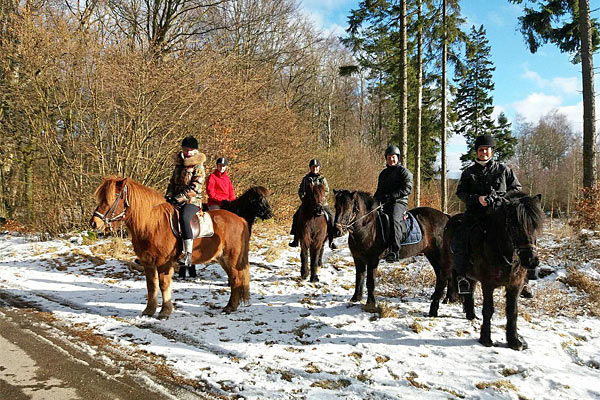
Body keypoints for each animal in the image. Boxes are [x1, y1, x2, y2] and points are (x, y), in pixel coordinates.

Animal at [89, 177, 251, 318]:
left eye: (113, 198)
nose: (94, 223)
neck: (152, 224)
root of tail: (240, 219)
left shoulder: (164, 262)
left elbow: (163, 285)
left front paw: (165, 312)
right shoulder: (147, 262)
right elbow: (151, 286)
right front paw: (149, 310)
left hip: (231, 258)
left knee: (236, 279)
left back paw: (230, 307)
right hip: (223, 259)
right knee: (234, 280)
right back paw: (231, 306)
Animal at [442, 191, 548, 350]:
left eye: (535, 226)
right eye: (514, 225)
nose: (531, 260)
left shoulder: (515, 285)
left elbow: (512, 311)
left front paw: (514, 341)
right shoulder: (488, 284)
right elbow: (488, 310)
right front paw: (485, 339)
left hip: (471, 275)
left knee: (470, 290)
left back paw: (471, 315)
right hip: (448, 264)